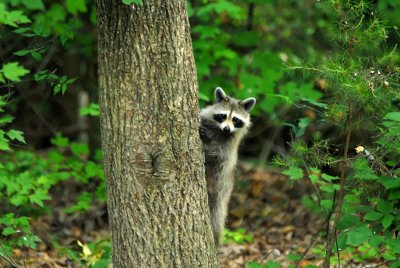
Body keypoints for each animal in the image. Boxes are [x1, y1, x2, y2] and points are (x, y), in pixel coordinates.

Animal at [200, 87, 256, 246]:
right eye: (223, 116)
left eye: (235, 119)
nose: (226, 129)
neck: (218, 130)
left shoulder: (229, 144)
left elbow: (218, 153)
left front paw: (208, 140)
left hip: (222, 187)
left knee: (217, 214)